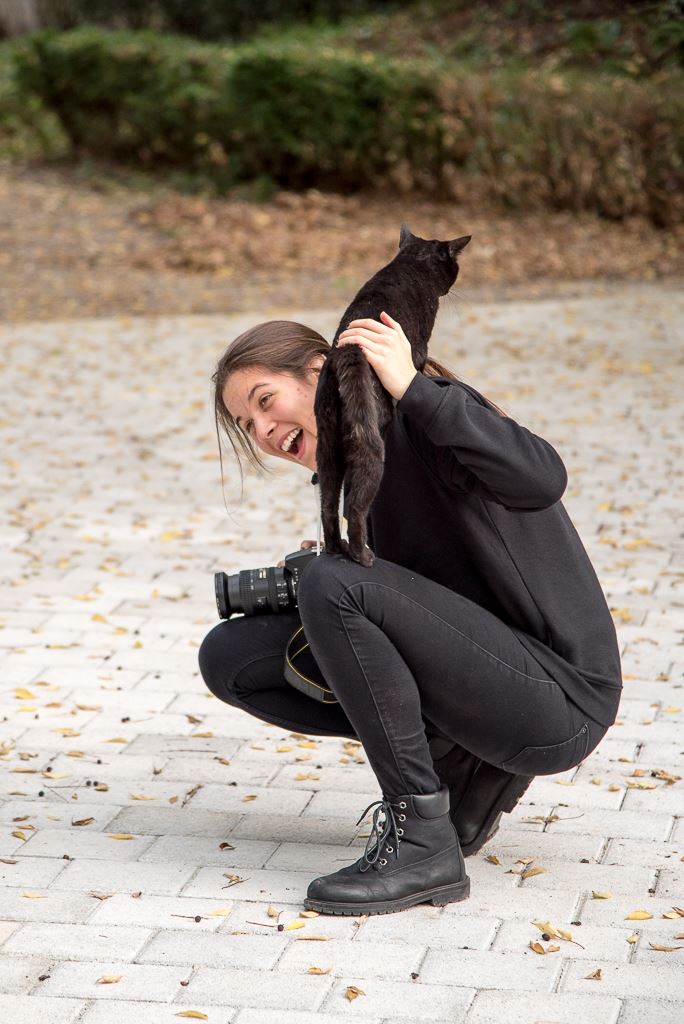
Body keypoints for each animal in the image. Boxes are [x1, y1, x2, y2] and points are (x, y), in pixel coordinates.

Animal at [313, 223, 471, 569]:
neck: (412, 261)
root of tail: (348, 351)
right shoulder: (419, 346)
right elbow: (418, 364)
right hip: (372, 445)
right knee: (354, 507)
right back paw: (362, 556)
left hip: (327, 447)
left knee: (328, 505)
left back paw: (335, 550)